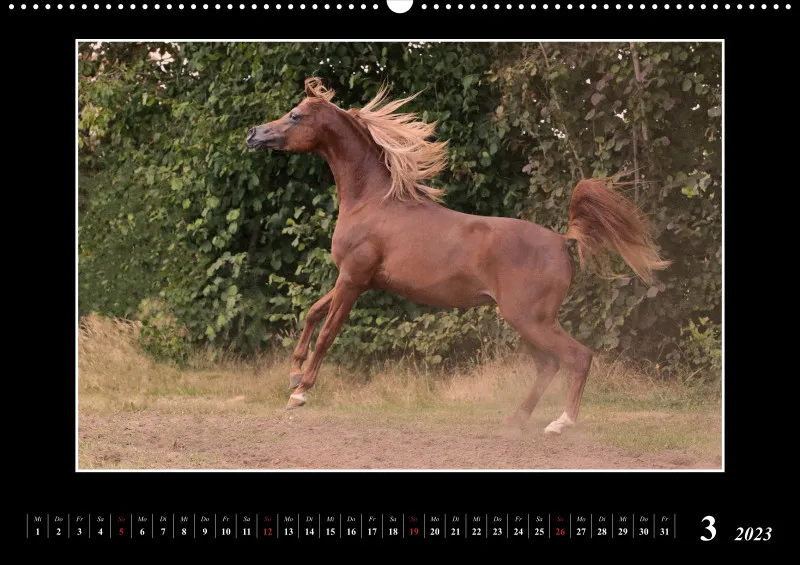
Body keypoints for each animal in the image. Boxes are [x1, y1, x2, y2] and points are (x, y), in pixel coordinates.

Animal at [246, 77, 670, 435]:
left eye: (295, 115)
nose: (254, 134)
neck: (372, 201)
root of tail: (562, 240)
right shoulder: (356, 279)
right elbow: (313, 313)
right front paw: (293, 374)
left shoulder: (353, 279)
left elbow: (327, 333)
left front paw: (300, 393)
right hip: (527, 320)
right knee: (548, 365)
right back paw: (515, 419)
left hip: (530, 319)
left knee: (578, 357)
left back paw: (560, 424)